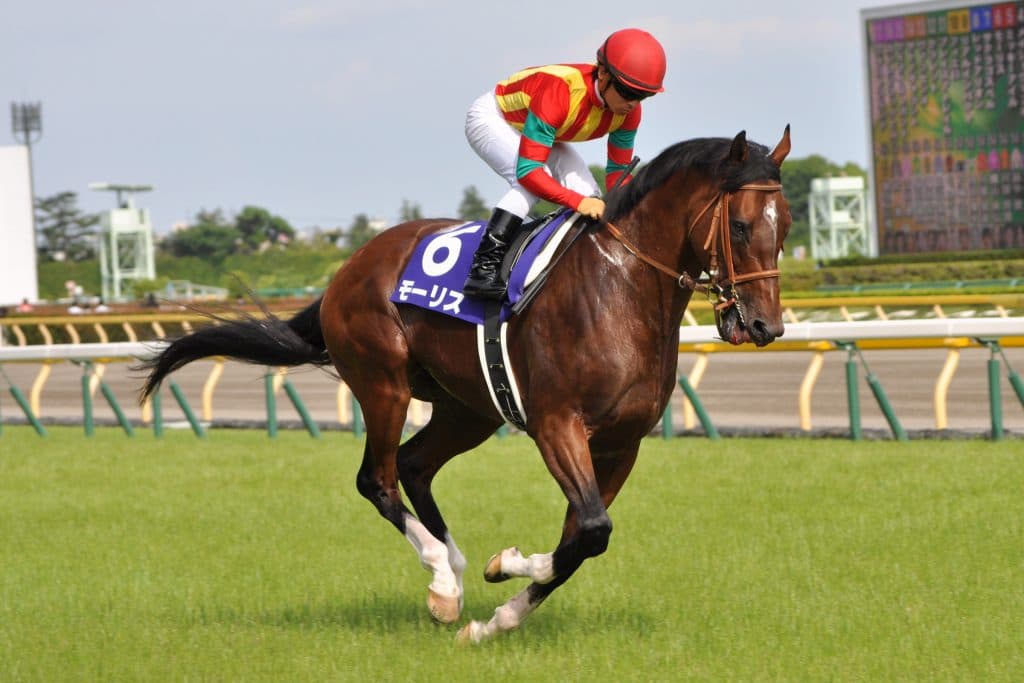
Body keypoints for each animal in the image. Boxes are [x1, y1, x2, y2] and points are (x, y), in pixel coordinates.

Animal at [140, 127, 793, 643]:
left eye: (784, 226)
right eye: (739, 226)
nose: (766, 325)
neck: (621, 288)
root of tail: (349, 267)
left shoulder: (620, 445)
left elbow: (582, 538)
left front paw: (497, 614)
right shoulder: (557, 424)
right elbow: (590, 530)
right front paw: (503, 568)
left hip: (467, 409)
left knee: (413, 466)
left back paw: (451, 569)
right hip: (384, 384)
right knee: (376, 478)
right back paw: (442, 580)